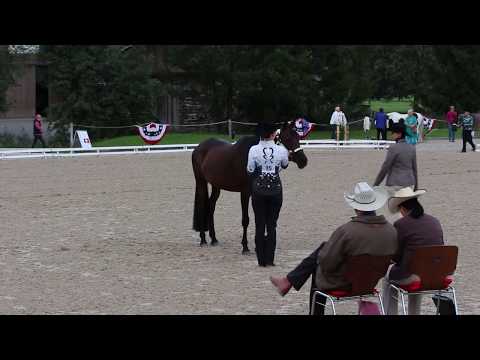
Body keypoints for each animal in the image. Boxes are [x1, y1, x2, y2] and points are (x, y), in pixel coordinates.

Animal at [191, 121, 308, 253]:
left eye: (298, 137)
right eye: (288, 138)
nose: (303, 161)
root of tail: (198, 148)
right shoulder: (245, 193)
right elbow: (245, 220)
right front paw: (245, 247)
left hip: (216, 185)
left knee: (211, 206)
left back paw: (214, 239)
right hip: (201, 182)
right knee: (202, 206)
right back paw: (203, 240)